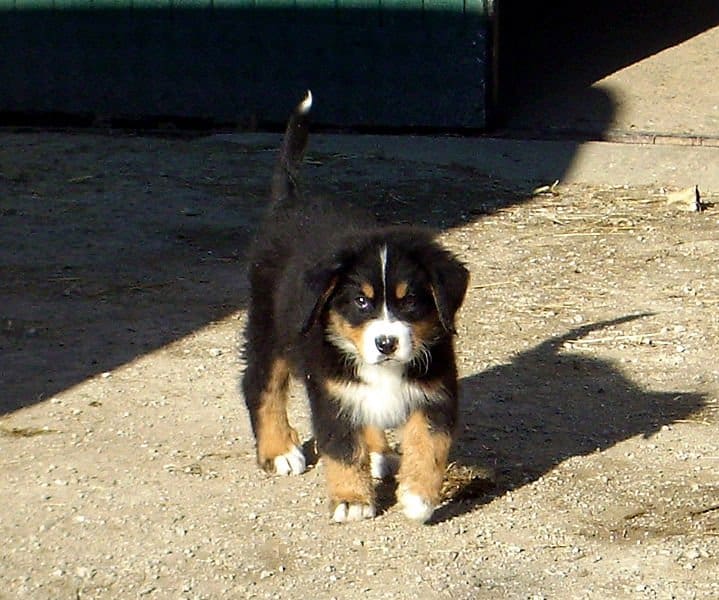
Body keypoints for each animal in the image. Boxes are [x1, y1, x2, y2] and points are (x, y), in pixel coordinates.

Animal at [242, 91, 470, 524]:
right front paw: (352, 500)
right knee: (260, 385)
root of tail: (291, 200)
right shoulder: (331, 392)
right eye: (361, 301)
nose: (386, 343)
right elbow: (342, 449)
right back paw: (279, 451)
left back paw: (379, 452)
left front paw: (418, 496)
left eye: (409, 300)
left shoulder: (434, 391)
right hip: (269, 327)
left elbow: (430, 444)